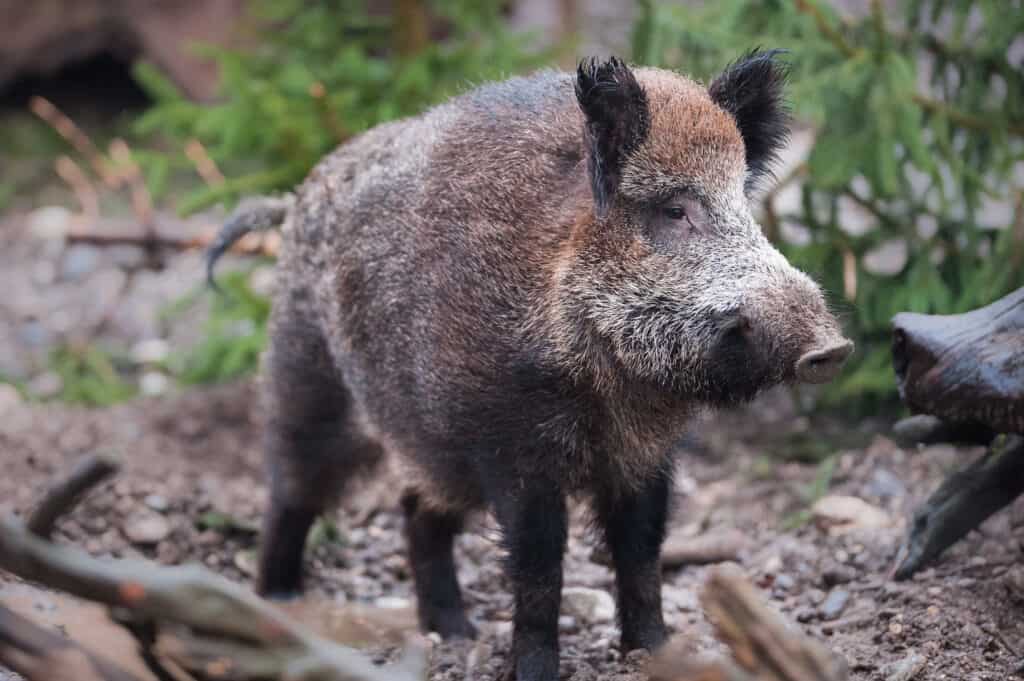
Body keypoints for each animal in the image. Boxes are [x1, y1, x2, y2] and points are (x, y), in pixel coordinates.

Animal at [207, 50, 853, 681]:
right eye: (675, 210)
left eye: (742, 204)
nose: (832, 349)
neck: (608, 389)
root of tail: (293, 200)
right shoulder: (514, 448)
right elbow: (540, 566)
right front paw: (536, 672)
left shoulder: (645, 456)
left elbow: (642, 552)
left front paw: (655, 653)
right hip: (307, 376)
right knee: (290, 491)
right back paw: (280, 604)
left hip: (438, 447)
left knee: (416, 510)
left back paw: (455, 634)